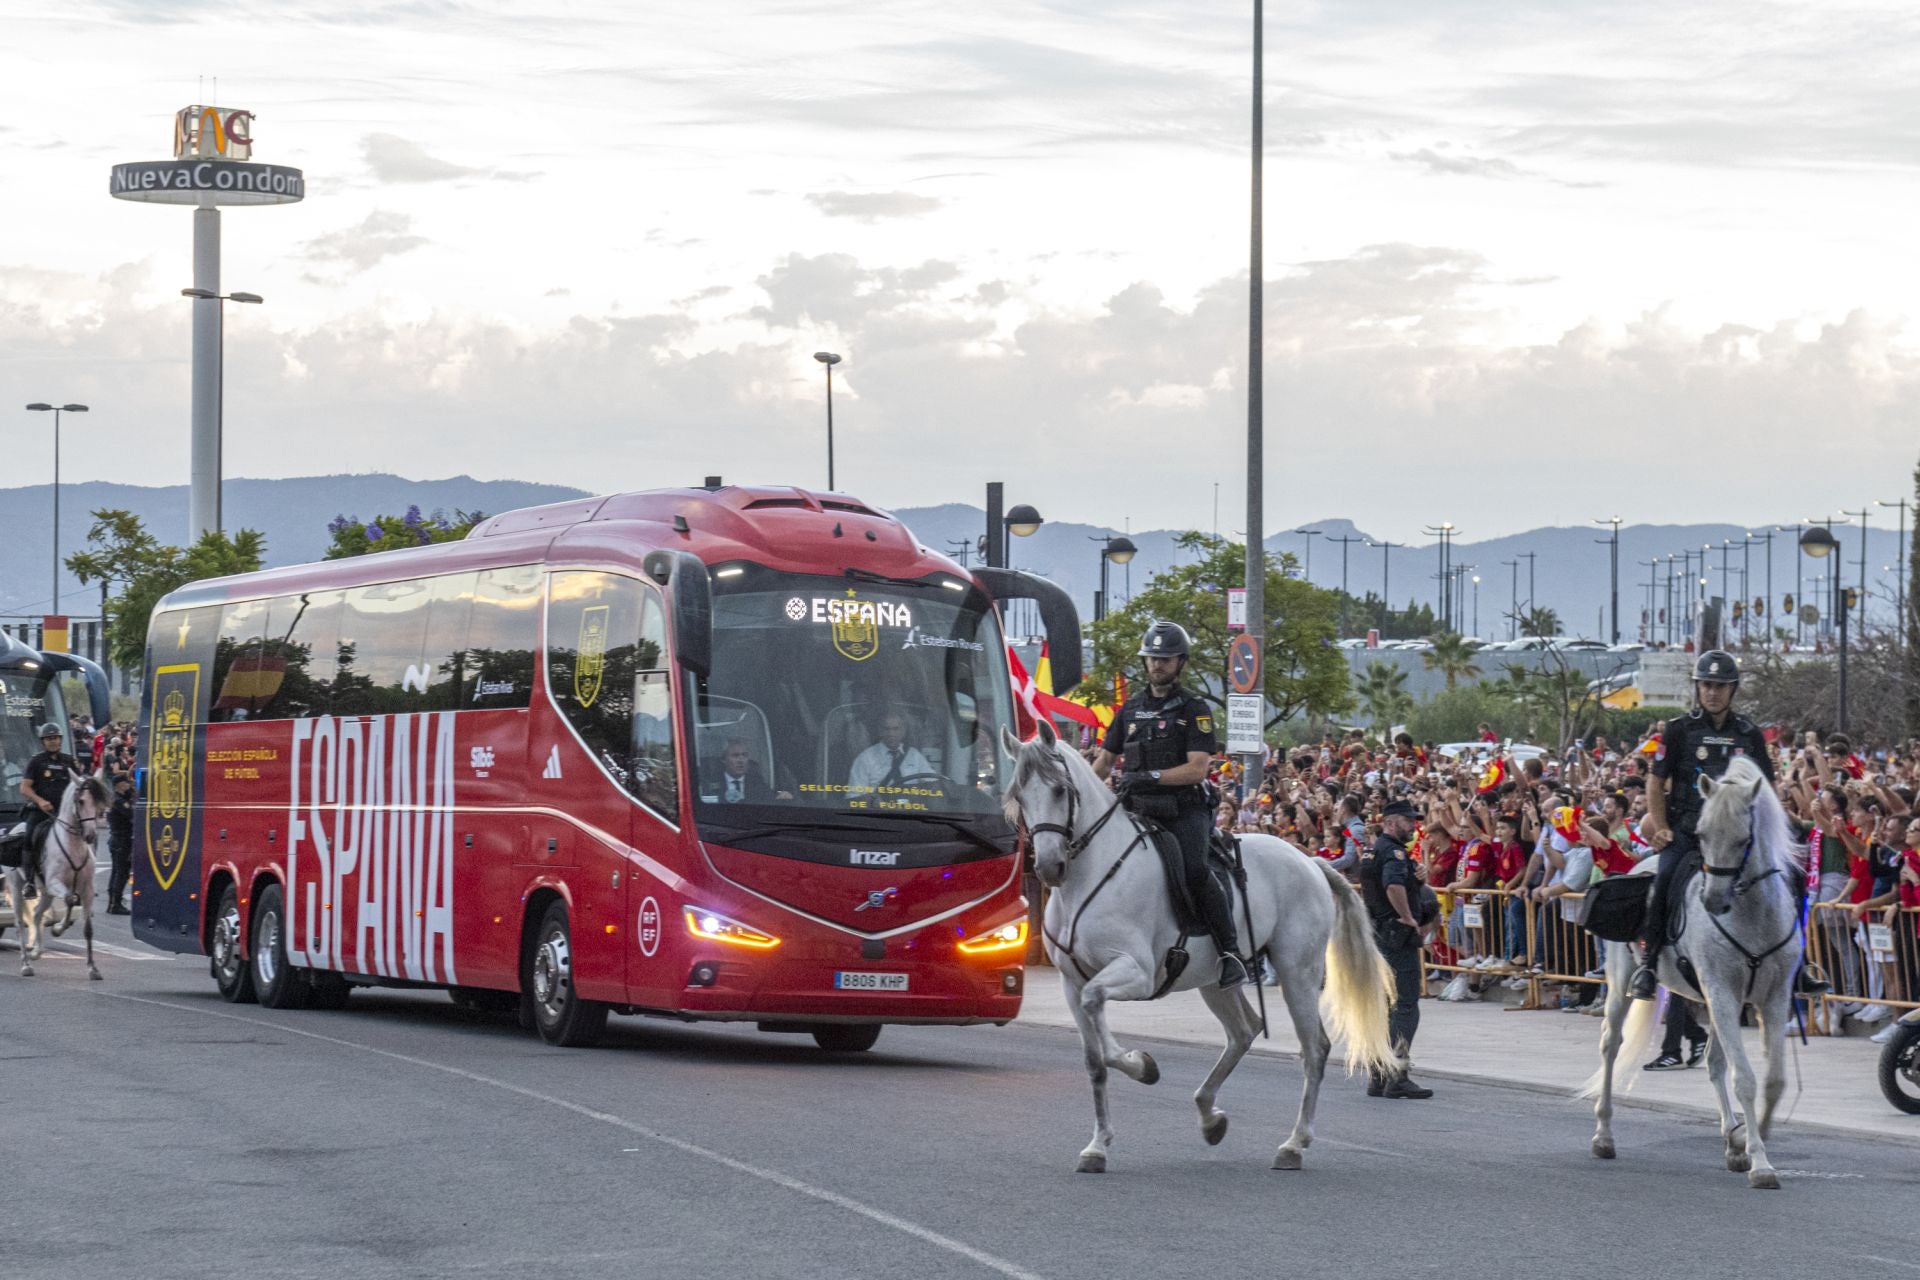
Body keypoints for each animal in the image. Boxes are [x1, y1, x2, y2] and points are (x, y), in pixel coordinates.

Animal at [4, 771, 107, 982]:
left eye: (98, 801)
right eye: (81, 801)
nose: (91, 836)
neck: (73, 846)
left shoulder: (86, 889)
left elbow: (87, 927)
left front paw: (93, 968)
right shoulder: (55, 884)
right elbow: (70, 899)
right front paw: (58, 928)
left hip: (46, 892)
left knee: (36, 914)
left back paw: (37, 951)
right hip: (18, 887)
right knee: (19, 923)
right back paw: (25, 965)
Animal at [1006, 725, 1397, 1174]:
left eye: (1059, 790)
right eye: (1020, 794)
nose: (1048, 866)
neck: (1092, 876)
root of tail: (1308, 861)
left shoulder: (1136, 972)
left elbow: (1101, 1024)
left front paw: (1142, 1066)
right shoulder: (1071, 984)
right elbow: (1094, 1061)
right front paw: (1097, 1146)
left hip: (1297, 971)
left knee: (1314, 1049)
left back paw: (1294, 1144)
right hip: (1216, 980)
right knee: (1243, 1032)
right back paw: (1210, 1116)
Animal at [1589, 759, 1797, 1189]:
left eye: (1743, 838)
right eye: (1701, 835)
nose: (1713, 900)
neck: (1754, 916)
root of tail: (1641, 862)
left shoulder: (1772, 998)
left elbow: (1773, 1081)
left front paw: (1746, 1139)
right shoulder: (1722, 993)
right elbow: (1745, 1078)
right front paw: (1760, 1162)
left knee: (1715, 1063)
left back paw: (1732, 1138)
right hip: (1623, 984)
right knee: (1611, 1045)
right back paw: (1603, 1135)